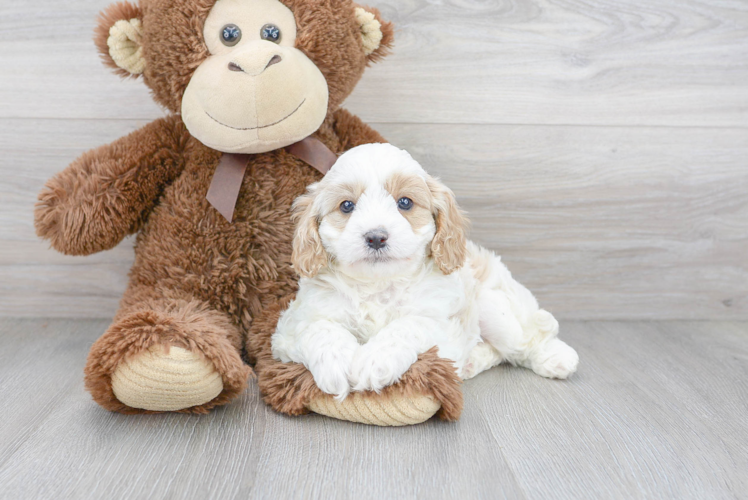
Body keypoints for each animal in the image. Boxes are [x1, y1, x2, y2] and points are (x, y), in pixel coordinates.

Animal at [270, 144, 580, 398]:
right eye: (347, 205)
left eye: (405, 202)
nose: (376, 237)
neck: (378, 285)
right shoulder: (293, 324)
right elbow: (319, 328)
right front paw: (337, 363)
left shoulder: (440, 321)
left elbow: (408, 326)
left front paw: (374, 360)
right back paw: (470, 362)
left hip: (494, 306)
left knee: (524, 341)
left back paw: (557, 358)